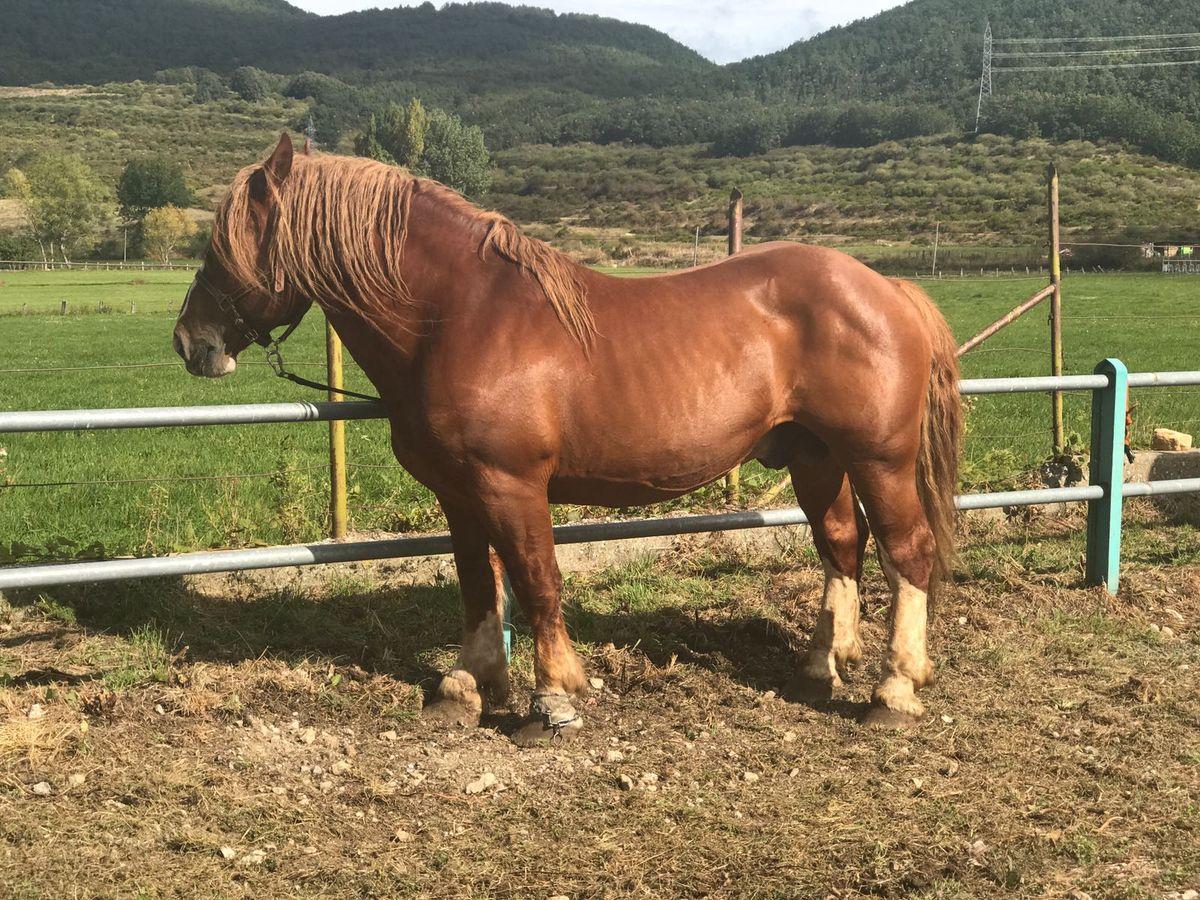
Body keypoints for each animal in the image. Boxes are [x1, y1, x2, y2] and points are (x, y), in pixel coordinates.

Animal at [174, 132, 964, 739]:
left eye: (225, 243)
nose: (190, 343)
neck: (462, 316)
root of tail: (887, 289)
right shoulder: (457, 492)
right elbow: (476, 582)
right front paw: (466, 686)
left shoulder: (512, 484)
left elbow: (536, 579)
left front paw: (552, 697)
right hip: (814, 457)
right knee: (842, 546)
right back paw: (821, 666)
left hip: (879, 458)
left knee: (907, 551)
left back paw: (895, 691)